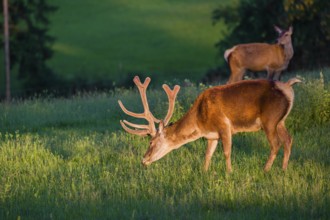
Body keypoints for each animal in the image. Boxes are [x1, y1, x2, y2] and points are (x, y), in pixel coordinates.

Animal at [119, 76, 302, 173]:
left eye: (151, 142)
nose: (144, 160)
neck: (200, 121)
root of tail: (288, 86)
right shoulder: (211, 136)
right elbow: (208, 155)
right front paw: (204, 172)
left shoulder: (224, 126)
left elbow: (227, 152)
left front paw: (229, 173)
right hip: (280, 121)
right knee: (288, 140)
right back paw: (284, 169)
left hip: (269, 120)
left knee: (276, 143)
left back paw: (265, 170)